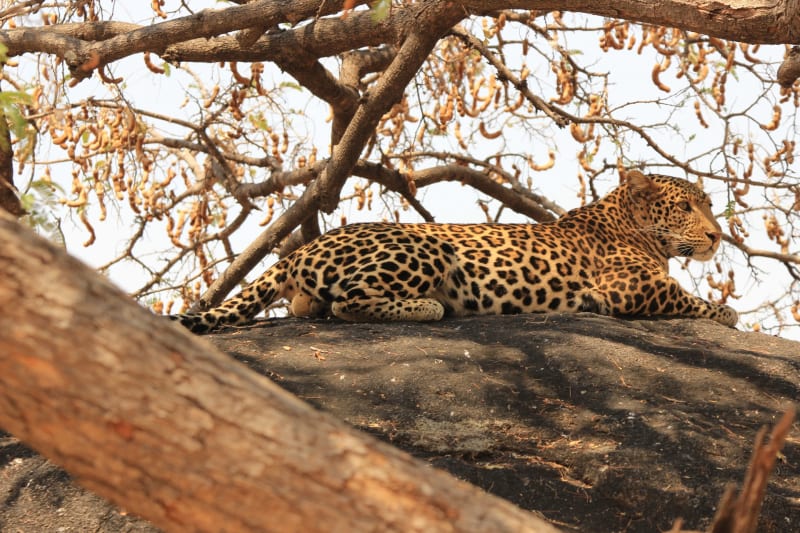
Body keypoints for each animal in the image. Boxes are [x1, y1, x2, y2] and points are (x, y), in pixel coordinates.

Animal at [173, 170, 738, 334]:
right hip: (427, 248)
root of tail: (299, 250)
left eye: (709, 205)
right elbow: (693, 301)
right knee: (349, 304)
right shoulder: (631, 286)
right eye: (686, 207)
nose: (717, 236)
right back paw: (432, 306)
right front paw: (725, 313)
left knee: (312, 307)